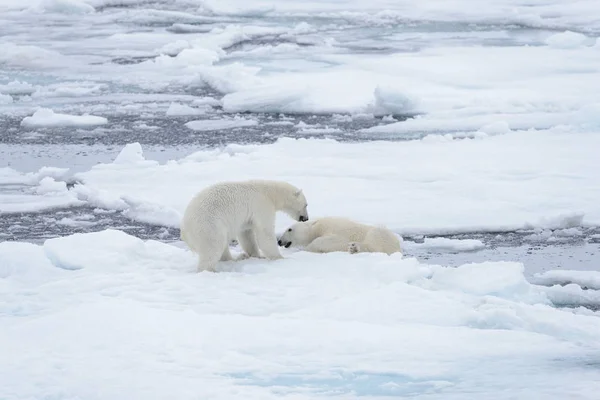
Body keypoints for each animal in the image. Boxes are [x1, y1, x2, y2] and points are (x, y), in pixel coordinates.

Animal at [179, 180, 310, 272]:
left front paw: (256, 256)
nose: (306, 218)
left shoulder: (247, 218)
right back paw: (212, 270)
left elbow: (246, 234)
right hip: (209, 224)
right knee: (213, 246)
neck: (269, 193)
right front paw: (280, 258)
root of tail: (184, 230)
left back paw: (237, 258)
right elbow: (265, 232)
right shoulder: (261, 205)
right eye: (306, 205)